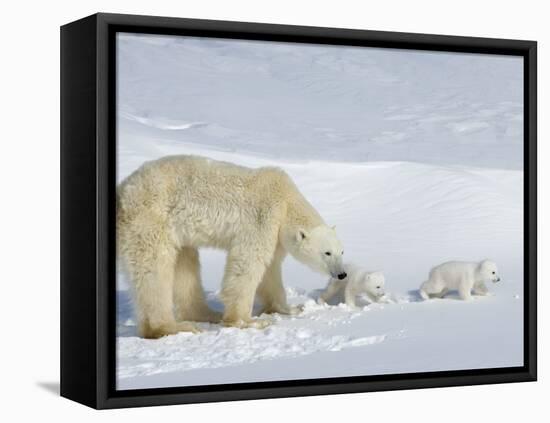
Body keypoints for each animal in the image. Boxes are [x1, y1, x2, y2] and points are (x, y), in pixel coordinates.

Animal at [118, 155, 348, 338]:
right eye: (327, 253)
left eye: (342, 251)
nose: (342, 274)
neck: (286, 200)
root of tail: (121, 192)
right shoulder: (262, 217)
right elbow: (248, 262)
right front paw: (248, 321)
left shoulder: (275, 234)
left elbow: (270, 270)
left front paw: (290, 308)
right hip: (150, 221)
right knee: (155, 271)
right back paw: (172, 327)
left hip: (176, 233)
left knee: (186, 263)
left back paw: (207, 314)